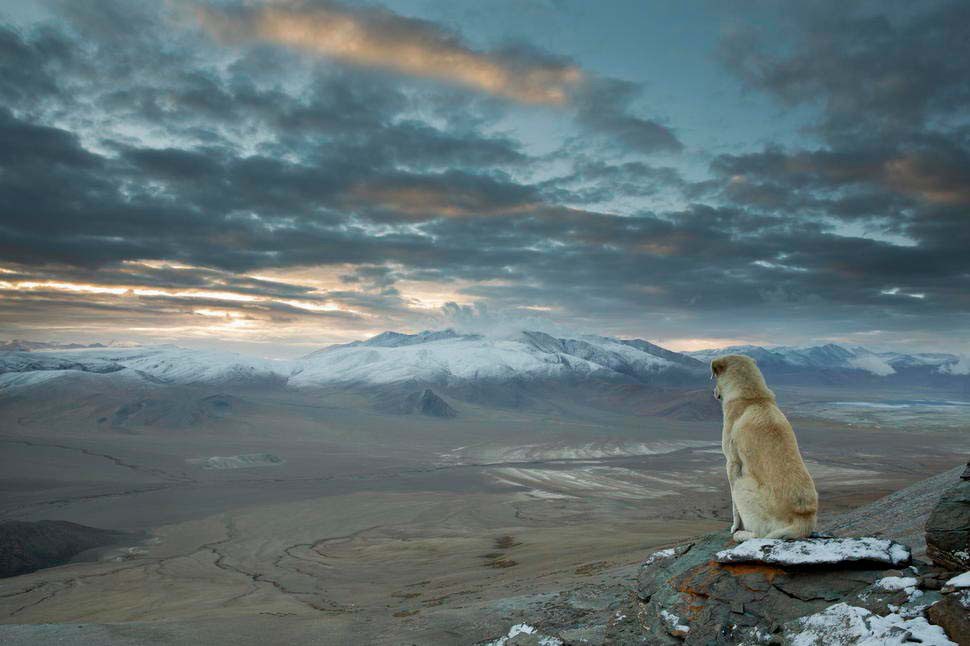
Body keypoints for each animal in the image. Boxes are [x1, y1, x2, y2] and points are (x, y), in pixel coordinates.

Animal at [712, 356, 816, 544]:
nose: (713, 392)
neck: (754, 397)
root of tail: (802, 520)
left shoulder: (731, 463)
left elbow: (734, 508)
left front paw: (735, 527)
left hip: (741, 485)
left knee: (759, 534)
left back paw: (740, 534)